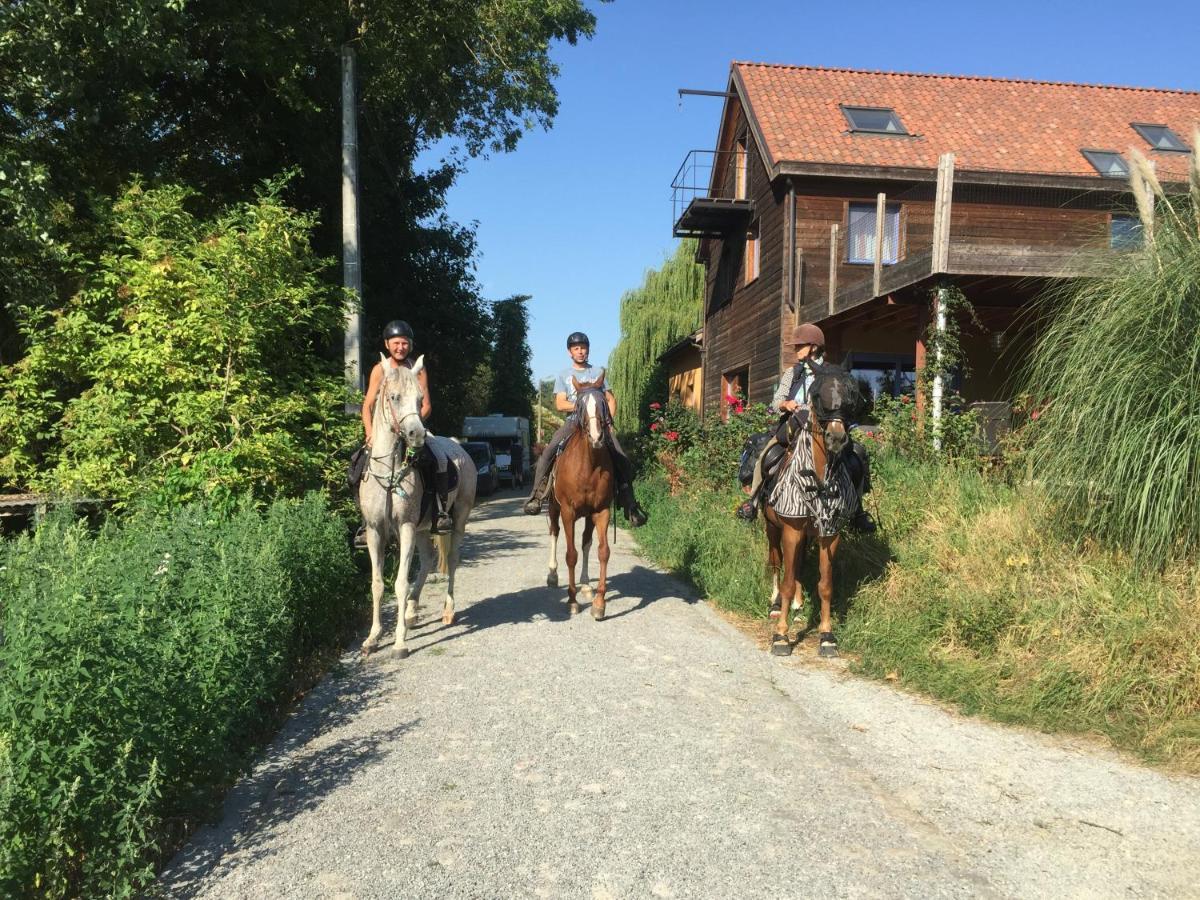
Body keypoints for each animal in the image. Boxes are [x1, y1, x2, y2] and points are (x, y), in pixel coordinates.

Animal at [549, 374, 614, 619]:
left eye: (604, 404)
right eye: (580, 406)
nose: (597, 437)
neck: (588, 465)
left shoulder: (602, 510)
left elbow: (602, 552)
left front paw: (599, 604)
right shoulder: (567, 511)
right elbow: (571, 555)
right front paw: (572, 600)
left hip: (588, 515)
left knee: (587, 542)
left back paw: (586, 585)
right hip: (553, 508)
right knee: (554, 533)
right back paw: (552, 574)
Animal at [763, 362, 859, 657]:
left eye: (851, 395)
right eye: (817, 396)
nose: (837, 438)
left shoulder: (830, 534)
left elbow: (825, 585)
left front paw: (827, 636)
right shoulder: (791, 529)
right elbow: (787, 579)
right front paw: (781, 636)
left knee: (797, 565)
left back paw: (796, 604)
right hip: (772, 528)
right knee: (777, 562)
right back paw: (776, 605)